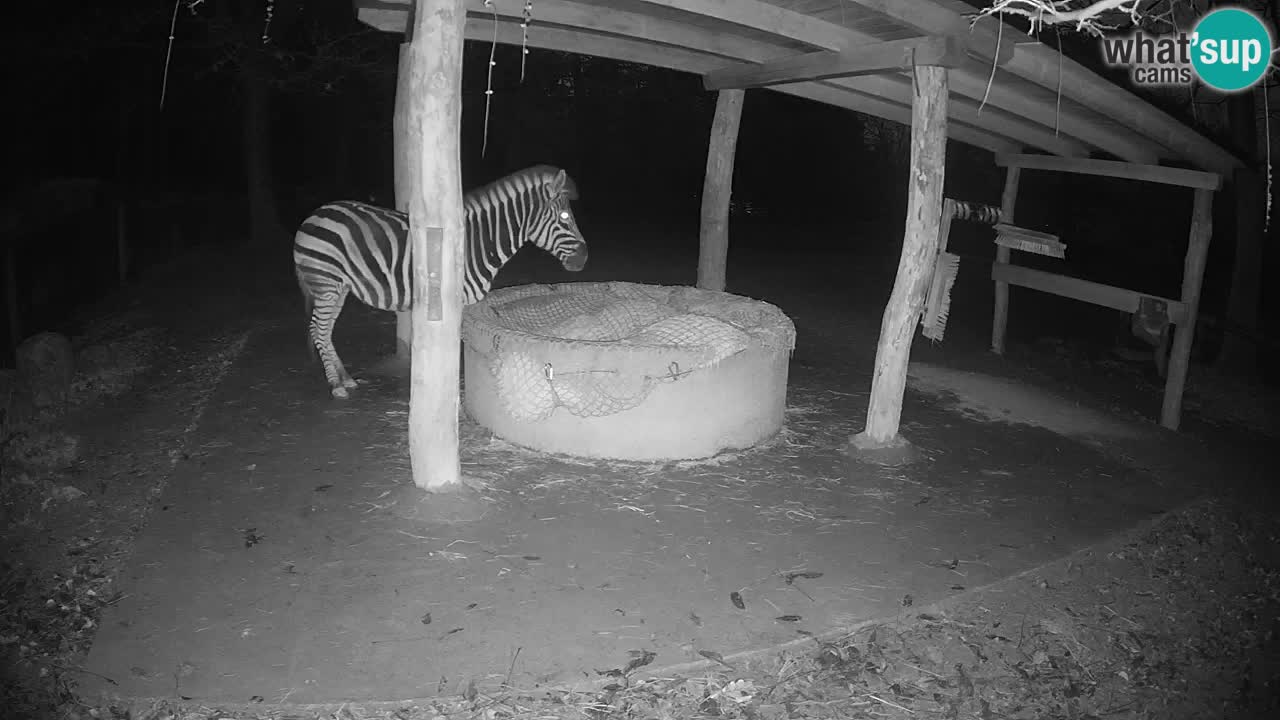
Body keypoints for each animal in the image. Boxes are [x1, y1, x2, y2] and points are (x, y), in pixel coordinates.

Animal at [292, 165, 588, 398]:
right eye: (565, 218)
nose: (584, 258)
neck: (478, 242)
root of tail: (315, 213)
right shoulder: (457, 301)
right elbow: (459, 345)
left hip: (339, 286)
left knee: (325, 331)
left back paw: (345, 378)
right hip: (326, 283)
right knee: (319, 329)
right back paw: (336, 385)